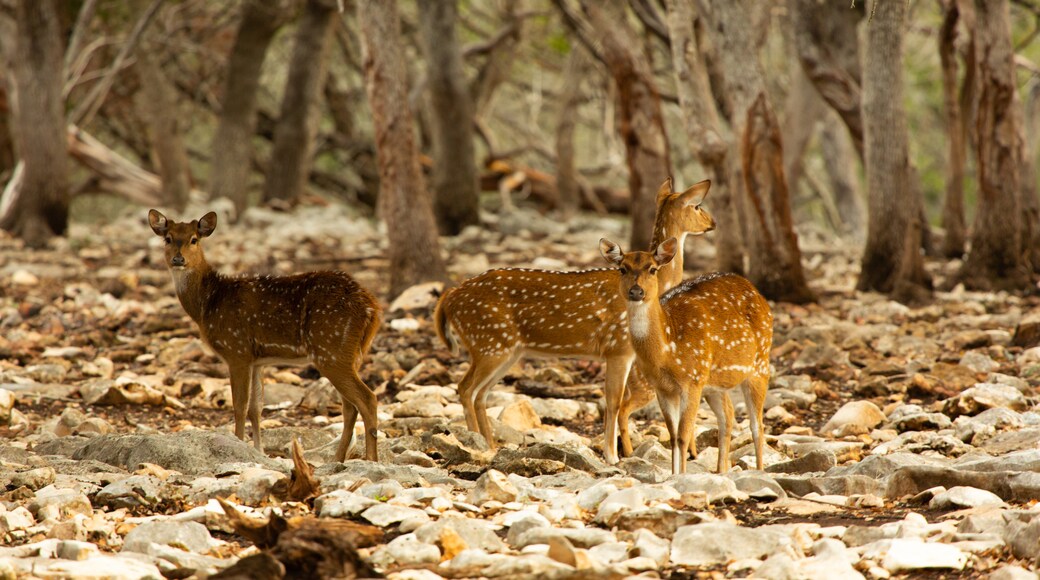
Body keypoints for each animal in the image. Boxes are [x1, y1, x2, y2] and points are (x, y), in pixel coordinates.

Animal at [148, 209, 384, 463]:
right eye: (168, 238)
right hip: (351, 352)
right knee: (350, 407)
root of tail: (372, 307)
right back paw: (338, 460)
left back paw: (371, 460)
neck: (207, 304)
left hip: (331, 347)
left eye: (194, 239)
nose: (178, 259)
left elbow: (239, 405)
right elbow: (256, 408)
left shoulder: (236, 349)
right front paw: (259, 452)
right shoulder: (257, 360)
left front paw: (239, 446)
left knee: (367, 399)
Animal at [434, 179, 719, 465]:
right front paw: (612, 457)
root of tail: (449, 297)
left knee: (481, 393)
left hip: (506, 350)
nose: (713, 223)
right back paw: (476, 442)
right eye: (698, 206)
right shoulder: (618, 348)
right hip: (488, 343)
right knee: (465, 388)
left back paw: (491, 444)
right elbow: (613, 401)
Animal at [603, 239, 773, 476]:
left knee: (757, 425)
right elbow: (673, 436)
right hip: (714, 383)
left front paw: (681, 476)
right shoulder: (663, 388)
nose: (636, 291)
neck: (667, 350)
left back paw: (759, 470)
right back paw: (721, 471)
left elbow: (683, 436)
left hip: (760, 364)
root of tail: (757, 293)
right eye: (622, 268)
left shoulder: (691, 381)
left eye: (652, 269)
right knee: (727, 416)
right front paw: (675, 475)